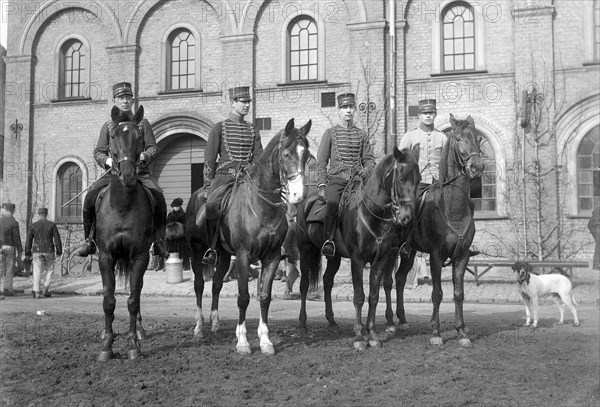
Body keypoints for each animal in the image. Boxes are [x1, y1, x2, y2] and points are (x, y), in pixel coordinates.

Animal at [186, 118, 310, 354]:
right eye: (286, 154)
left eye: (306, 155)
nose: (298, 195)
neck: (261, 206)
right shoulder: (243, 256)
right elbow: (243, 297)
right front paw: (243, 341)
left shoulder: (271, 257)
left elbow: (265, 297)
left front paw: (265, 340)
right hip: (197, 253)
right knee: (199, 285)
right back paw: (199, 326)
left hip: (225, 256)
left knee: (216, 283)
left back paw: (215, 323)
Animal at [294, 147, 418, 350]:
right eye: (400, 178)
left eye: (418, 178)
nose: (407, 217)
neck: (372, 214)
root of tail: (306, 201)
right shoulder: (357, 261)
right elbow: (359, 296)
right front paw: (360, 337)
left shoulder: (380, 260)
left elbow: (374, 295)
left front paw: (373, 335)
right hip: (305, 250)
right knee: (304, 284)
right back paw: (303, 325)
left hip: (334, 256)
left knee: (327, 281)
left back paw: (331, 321)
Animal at [384, 115, 488, 348]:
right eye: (457, 138)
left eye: (478, 138)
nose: (477, 167)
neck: (452, 208)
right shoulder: (436, 256)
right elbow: (437, 293)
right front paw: (436, 332)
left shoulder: (462, 256)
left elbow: (458, 293)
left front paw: (462, 332)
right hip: (390, 252)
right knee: (387, 281)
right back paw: (390, 322)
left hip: (410, 252)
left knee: (400, 278)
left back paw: (402, 319)